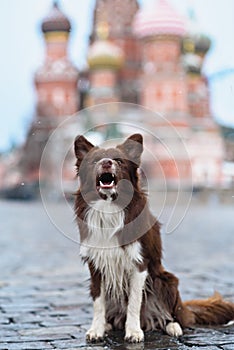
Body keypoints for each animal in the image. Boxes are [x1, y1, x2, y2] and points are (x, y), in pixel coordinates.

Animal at [74, 133, 234, 342]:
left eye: (118, 160)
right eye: (94, 161)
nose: (106, 162)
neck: (109, 207)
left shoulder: (140, 263)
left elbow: (134, 301)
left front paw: (134, 331)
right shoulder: (96, 264)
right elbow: (98, 301)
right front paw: (97, 330)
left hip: (167, 281)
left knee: (173, 315)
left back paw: (172, 326)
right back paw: (110, 324)